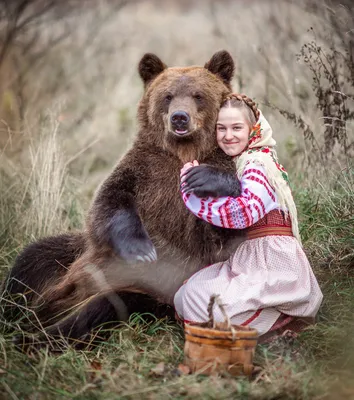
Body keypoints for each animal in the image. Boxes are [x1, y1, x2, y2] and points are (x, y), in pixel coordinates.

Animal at [2, 50, 245, 348]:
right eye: (168, 96)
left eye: (198, 95)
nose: (179, 118)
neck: (182, 152)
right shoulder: (142, 170)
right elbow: (109, 205)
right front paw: (141, 249)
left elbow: (219, 238)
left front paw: (210, 182)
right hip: (74, 254)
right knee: (29, 263)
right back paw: (16, 315)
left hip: (145, 294)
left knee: (97, 311)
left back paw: (35, 335)